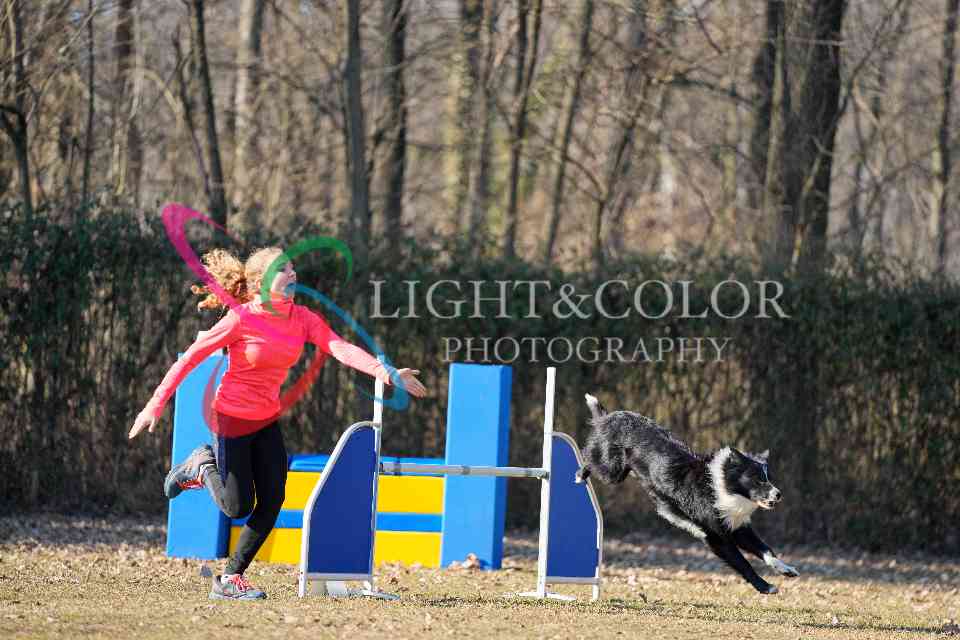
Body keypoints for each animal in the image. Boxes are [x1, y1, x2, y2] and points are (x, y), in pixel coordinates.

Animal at [575, 394, 799, 594]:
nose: (779, 494)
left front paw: (786, 569)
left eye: (769, 478)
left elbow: (766, 550)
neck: (722, 485)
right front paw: (765, 586)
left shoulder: (737, 527)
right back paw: (580, 474)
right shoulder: (716, 537)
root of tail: (609, 416)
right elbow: (744, 563)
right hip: (612, 471)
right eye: (758, 479)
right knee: (588, 458)